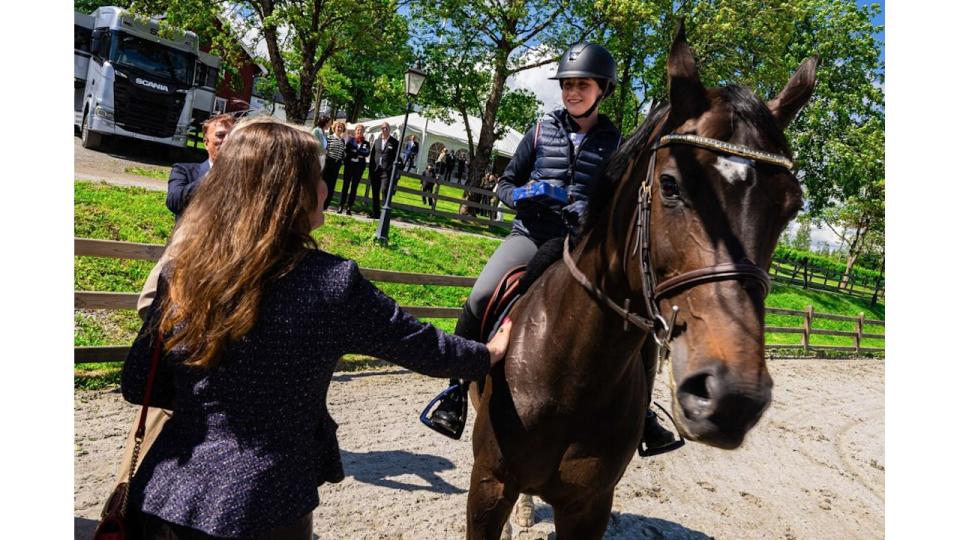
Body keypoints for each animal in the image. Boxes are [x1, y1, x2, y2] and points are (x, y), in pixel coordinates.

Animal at [464, 22, 816, 540]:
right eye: (670, 185)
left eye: (791, 207)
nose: (733, 398)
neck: (573, 372)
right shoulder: (489, 486)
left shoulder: (590, 505)